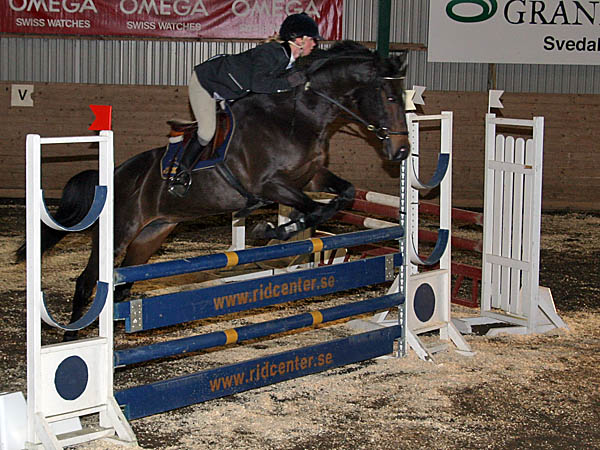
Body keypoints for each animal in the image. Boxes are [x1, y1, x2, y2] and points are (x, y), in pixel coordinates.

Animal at [17, 40, 410, 339]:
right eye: (389, 98)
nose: (402, 151)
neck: (298, 116)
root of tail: (113, 174)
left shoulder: (310, 178)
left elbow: (342, 196)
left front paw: (281, 228)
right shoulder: (268, 184)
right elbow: (313, 209)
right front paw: (268, 229)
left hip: (150, 237)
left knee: (123, 285)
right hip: (116, 233)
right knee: (88, 283)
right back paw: (71, 340)